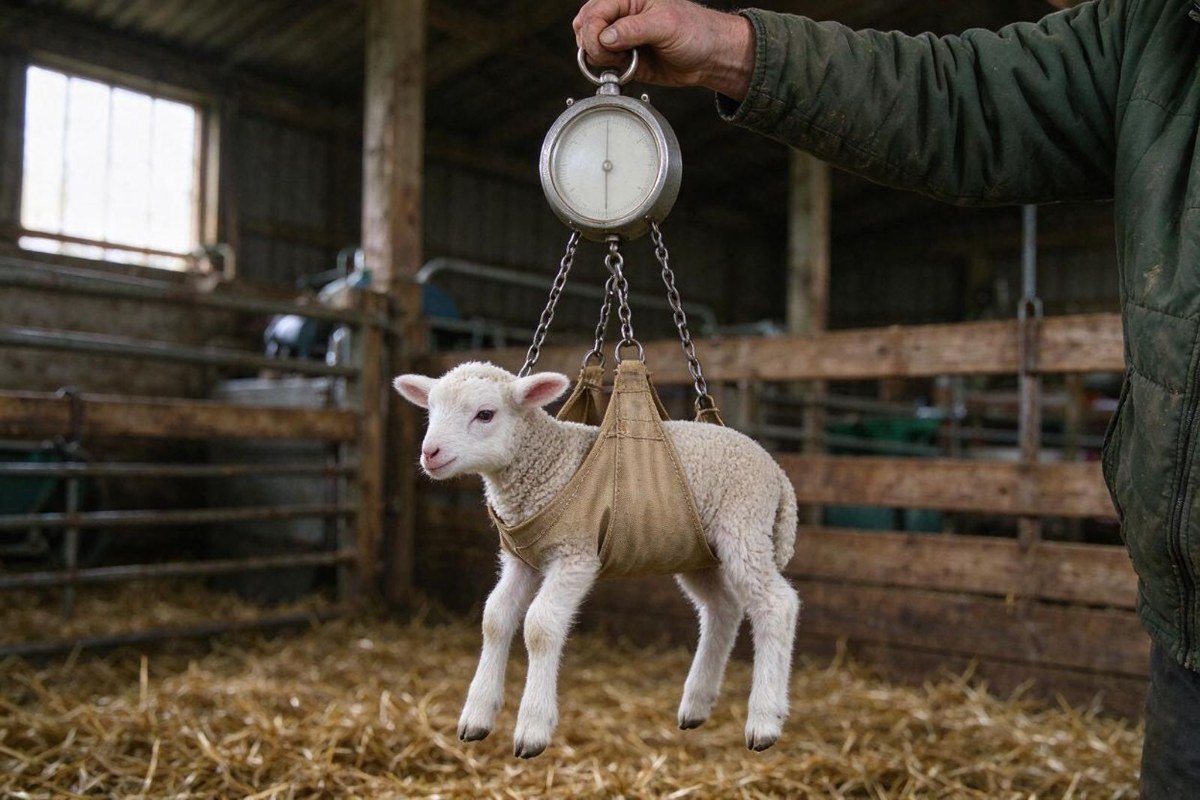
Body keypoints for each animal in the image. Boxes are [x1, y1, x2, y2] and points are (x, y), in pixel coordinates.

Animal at [394, 361, 800, 759]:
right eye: (431, 410)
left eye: (485, 414)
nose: (430, 453)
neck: (549, 466)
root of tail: (778, 474)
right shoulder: (522, 560)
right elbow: (494, 618)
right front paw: (477, 714)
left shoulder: (575, 555)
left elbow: (540, 625)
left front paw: (533, 726)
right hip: (696, 550)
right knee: (723, 608)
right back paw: (697, 703)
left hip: (743, 526)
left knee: (776, 604)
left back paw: (766, 717)